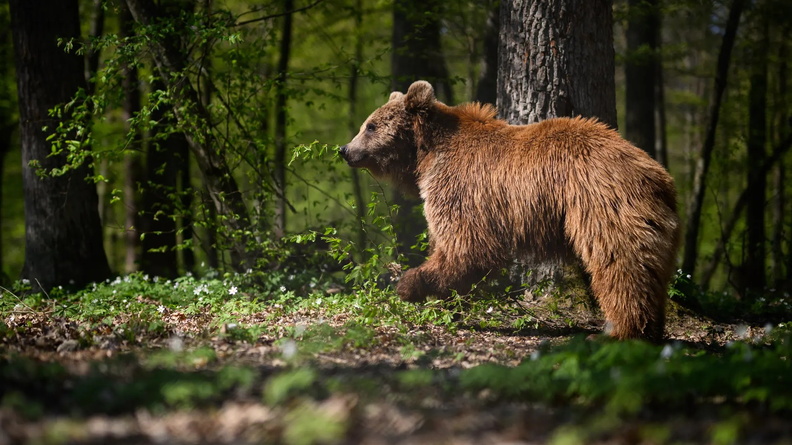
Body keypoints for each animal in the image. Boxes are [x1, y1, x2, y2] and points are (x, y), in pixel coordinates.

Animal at [339, 80, 680, 341]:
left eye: (370, 126)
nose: (345, 149)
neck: (425, 156)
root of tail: (658, 175)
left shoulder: (461, 186)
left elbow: (467, 245)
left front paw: (409, 283)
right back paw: (649, 328)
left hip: (600, 203)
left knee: (620, 263)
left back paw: (621, 330)